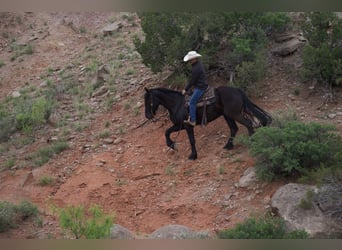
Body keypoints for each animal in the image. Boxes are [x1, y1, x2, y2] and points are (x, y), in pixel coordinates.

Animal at [143, 86, 272, 160]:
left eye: (148, 99)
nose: (148, 115)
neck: (177, 104)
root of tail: (237, 90)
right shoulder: (179, 125)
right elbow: (166, 132)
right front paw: (172, 145)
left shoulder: (187, 125)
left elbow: (191, 140)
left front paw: (193, 155)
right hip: (227, 115)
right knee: (234, 128)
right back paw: (228, 146)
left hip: (234, 114)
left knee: (248, 124)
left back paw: (252, 141)